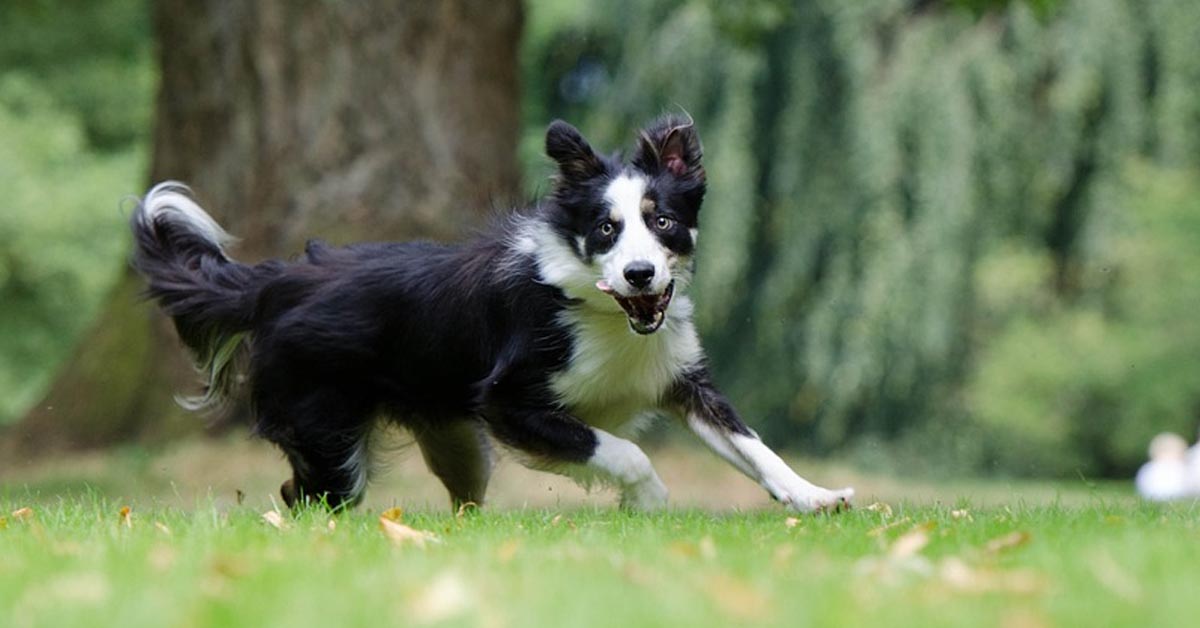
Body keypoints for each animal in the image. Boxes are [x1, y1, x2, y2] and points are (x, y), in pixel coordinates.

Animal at [133, 115, 854, 513]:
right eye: (605, 229)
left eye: (664, 222)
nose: (640, 274)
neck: (602, 312)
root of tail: (279, 282)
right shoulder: (510, 402)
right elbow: (621, 451)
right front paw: (649, 501)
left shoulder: (679, 378)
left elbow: (754, 447)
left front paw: (816, 496)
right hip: (327, 431)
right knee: (304, 497)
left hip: (455, 443)